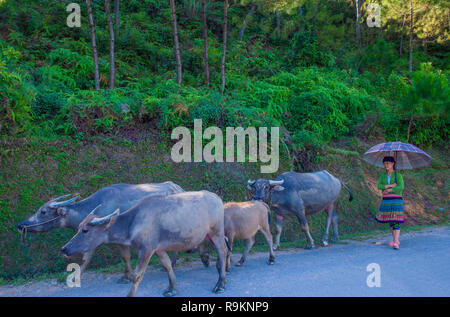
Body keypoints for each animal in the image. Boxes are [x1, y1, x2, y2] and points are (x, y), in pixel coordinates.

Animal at [16, 180, 185, 278]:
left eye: (43, 212)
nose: (21, 225)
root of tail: (178, 188)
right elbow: (86, 257)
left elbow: (124, 256)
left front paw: (127, 276)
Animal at [60, 190, 229, 296]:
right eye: (79, 227)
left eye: (85, 230)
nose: (64, 248)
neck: (133, 222)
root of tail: (216, 198)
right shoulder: (158, 249)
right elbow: (167, 266)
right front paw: (172, 288)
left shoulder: (146, 249)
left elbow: (137, 276)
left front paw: (130, 294)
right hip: (208, 235)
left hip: (216, 232)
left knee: (222, 251)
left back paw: (220, 284)